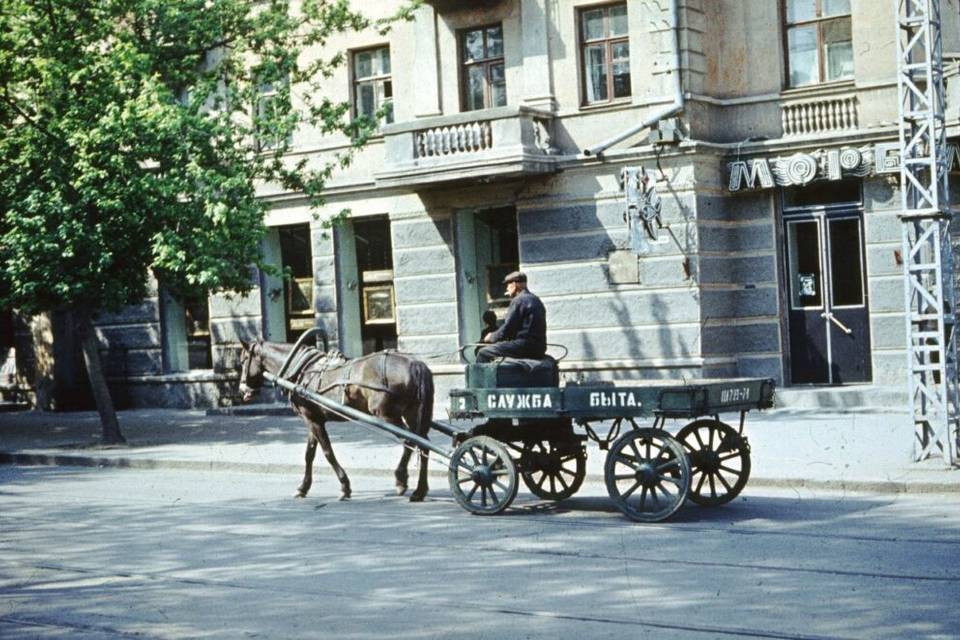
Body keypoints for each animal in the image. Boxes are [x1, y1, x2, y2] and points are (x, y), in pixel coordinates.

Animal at [238, 342, 436, 502]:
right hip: (411, 413)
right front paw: (303, 488)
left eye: (243, 360)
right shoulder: (313, 419)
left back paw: (401, 479)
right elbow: (309, 454)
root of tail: (416, 364)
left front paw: (344, 486)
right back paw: (420, 491)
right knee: (423, 444)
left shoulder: (312, 420)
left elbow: (327, 452)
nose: (242, 389)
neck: (302, 372)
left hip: (386, 415)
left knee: (410, 441)